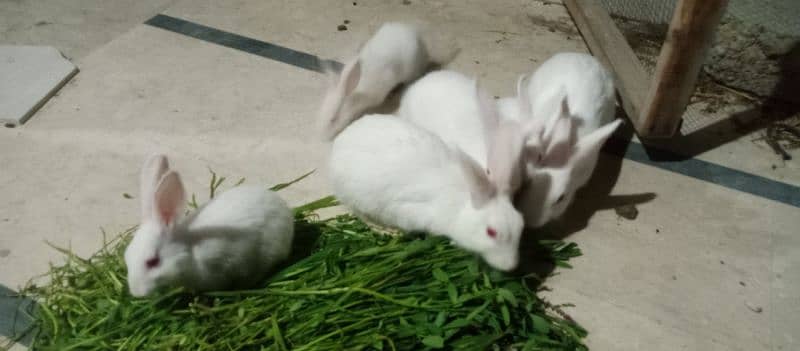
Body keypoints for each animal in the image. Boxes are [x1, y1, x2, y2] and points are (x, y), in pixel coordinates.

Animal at [326, 114, 520, 270]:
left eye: (521, 224)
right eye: (491, 232)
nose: (510, 266)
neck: (459, 207)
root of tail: (339, 142)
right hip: (357, 198)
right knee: (361, 214)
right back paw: (386, 230)